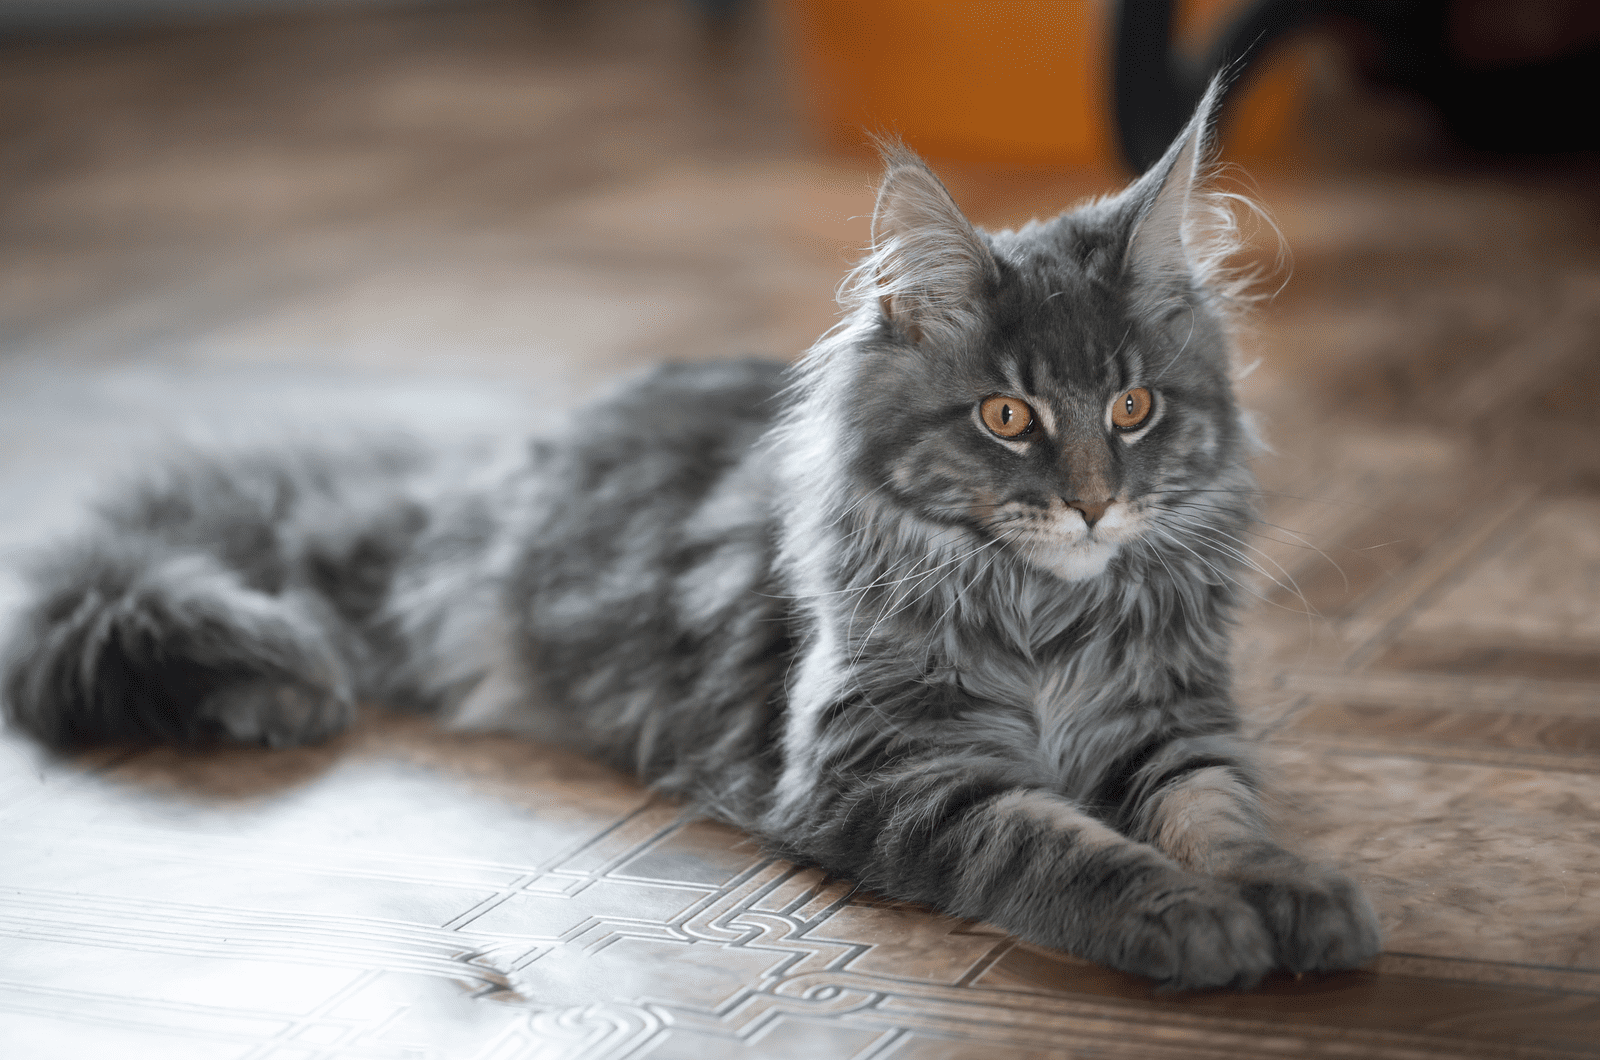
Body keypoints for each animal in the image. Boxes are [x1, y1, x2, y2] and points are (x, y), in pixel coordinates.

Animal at [0, 85, 1376, 999]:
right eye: (1008, 418)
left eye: (1134, 409)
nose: (1094, 503)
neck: (1052, 618)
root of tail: (514, 459)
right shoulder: (894, 772)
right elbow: (1060, 843)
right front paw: (1189, 920)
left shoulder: (1170, 722)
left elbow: (1221, 815)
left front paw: (1292, 897)